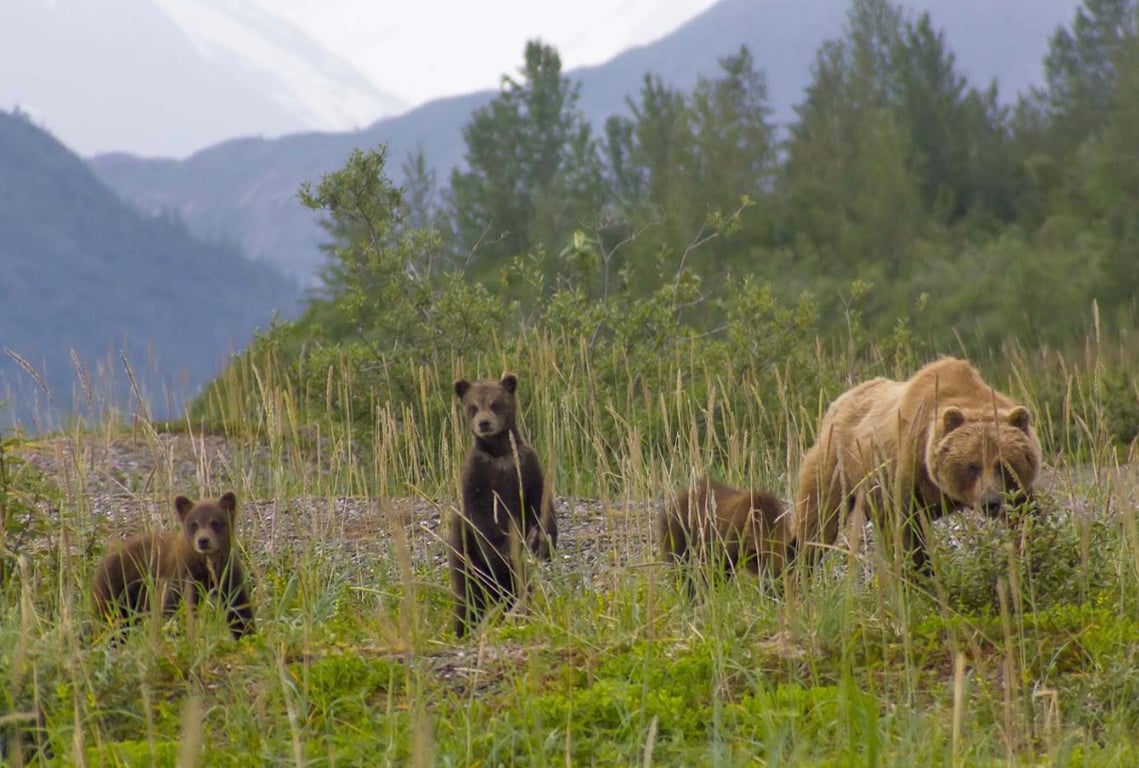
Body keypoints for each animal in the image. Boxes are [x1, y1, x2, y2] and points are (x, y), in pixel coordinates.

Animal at [92, 492, 254, 639]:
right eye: (194, 523)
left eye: (215, 522)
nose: (203, 540)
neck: (206, 565)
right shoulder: (182, 574)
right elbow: (172, 608)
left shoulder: (228, 573)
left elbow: (239, 606)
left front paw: (245, 632)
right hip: (116, 585)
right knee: (107, 616)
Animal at [451, 373, 558, 637]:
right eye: (473, 406)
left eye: (495, 403)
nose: (484, 423)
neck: (499, 452)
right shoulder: (477, 473)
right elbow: (482, 515)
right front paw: (500, 549)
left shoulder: (525, 465)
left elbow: (540, 503)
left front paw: (545, 541)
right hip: (463, 550)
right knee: (467, 593)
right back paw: (463, 629)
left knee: (517, 588)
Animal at [794, 356, 1041, 576]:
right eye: (973, 466)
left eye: (1003, 464)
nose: (990, 502)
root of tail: (836, 404)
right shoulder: (908, 465)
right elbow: (906, 530)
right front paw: (919, 573)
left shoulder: (1016, 490)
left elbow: (1025, 517)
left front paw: (1030, 559)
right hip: (836, 468)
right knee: (817, 526)